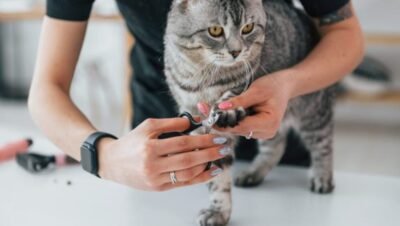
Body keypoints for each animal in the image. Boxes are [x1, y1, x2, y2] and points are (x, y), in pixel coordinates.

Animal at [164, 0, 336, 225]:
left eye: (248, 28)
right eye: (215, 31)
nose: (236, 51)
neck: (201, 76)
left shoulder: (244, 86)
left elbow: (230, 98)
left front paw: (226, 109)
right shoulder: (199, 124)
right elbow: (218, 177)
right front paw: (218, 210)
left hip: (313, 111)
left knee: (323, 144)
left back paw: (322, 177)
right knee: (276, 146)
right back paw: (254, 173)